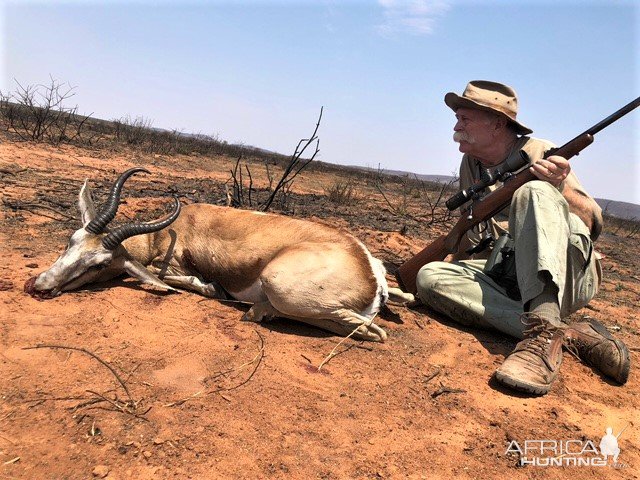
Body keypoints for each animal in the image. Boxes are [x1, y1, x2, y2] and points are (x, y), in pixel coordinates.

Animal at [25, 169, 410, 342]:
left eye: (101, 264)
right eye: (71, 241)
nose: (38, 286)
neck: (170, 230)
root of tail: (369, 272)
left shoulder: (170, 265)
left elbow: (181, 280)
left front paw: (213, 288)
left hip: (280, 285)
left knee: (375, 332)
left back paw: (258, 310)